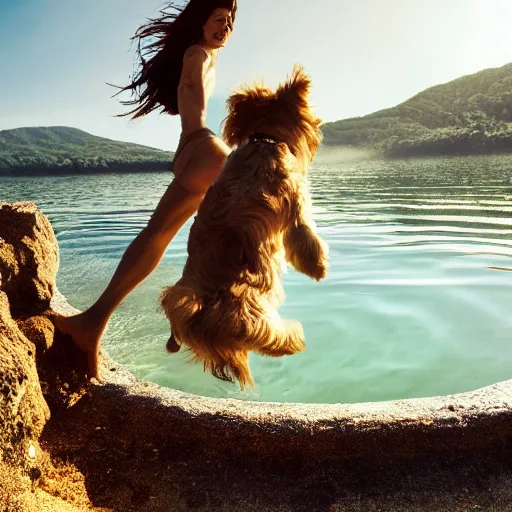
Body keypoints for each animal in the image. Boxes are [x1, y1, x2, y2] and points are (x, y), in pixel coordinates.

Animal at [158, 65, 330, 388]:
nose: (318, 123)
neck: (266, 141)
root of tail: (201, 312)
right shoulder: (295, 197)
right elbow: (305, 237)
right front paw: (318, 265)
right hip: (258, 319)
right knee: (277, 339)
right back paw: (295, 338)